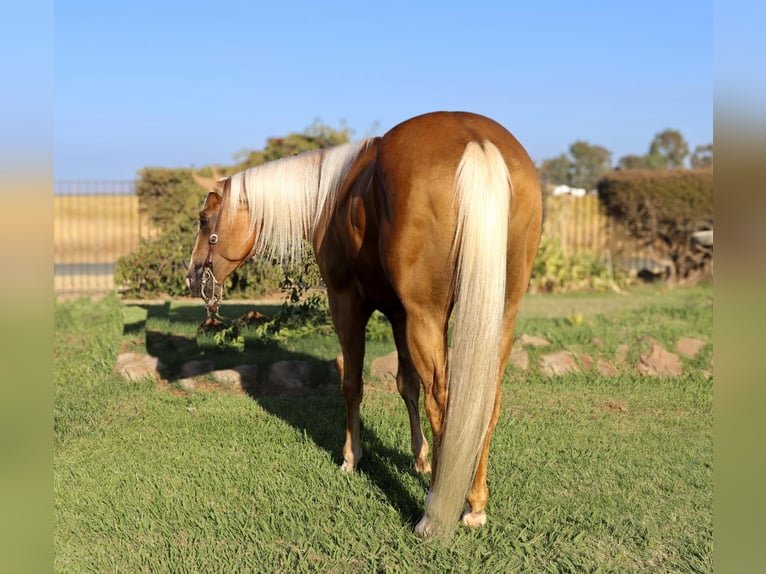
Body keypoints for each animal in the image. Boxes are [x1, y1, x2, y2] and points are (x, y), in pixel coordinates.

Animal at [186, 111, 542, 540]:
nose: (192, 277)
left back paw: (434, 514)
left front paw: (350, 458)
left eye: (205, 220)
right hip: (500, 314)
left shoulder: (349, 304)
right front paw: (421, 459)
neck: (332, 191)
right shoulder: (400, 313)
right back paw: (474, 505)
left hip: (428, 313)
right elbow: (406, 385)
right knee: (485, 401)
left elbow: (352, 383)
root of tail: (476, 140)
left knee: (442, 400)